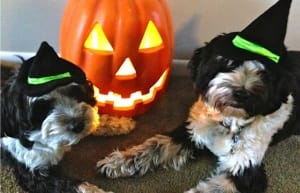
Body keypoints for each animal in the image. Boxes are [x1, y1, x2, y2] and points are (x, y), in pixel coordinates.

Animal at [97, 0, 298, 192]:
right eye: (229, 62)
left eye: (264, 73)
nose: (242, 93)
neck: (228, 124)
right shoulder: (190, 131)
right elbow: (155, 145)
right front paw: (119, 161)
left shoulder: (246, 172)